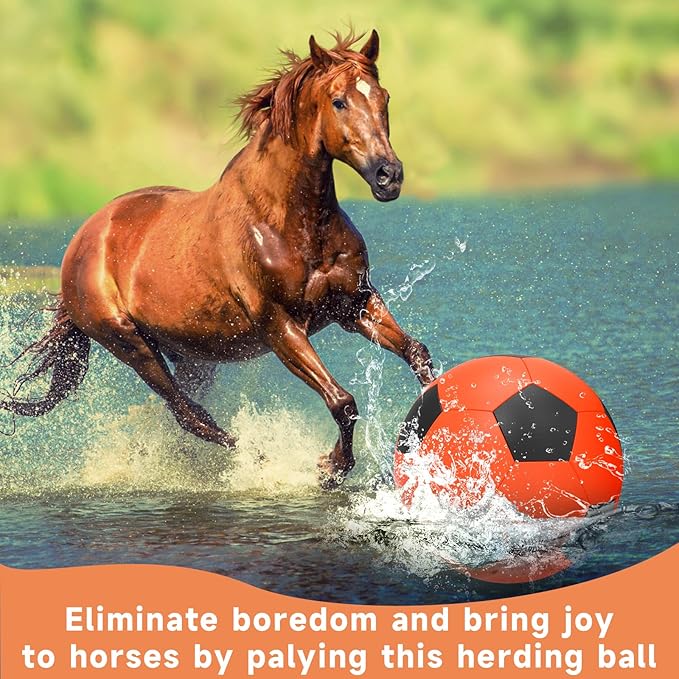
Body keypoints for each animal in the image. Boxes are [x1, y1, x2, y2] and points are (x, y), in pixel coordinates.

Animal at [1, 30, 434, 487]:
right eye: (339, 102)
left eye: (384, 97)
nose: (389, 176)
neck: (289, 222)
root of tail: (83, 241)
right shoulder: (280, 327)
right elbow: (342, 401)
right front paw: (330, 466)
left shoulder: (354, 305)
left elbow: (417, 353)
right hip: (129, 342)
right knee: (188, 413)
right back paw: (256, 458)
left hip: (192, 354)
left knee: (183, 412)